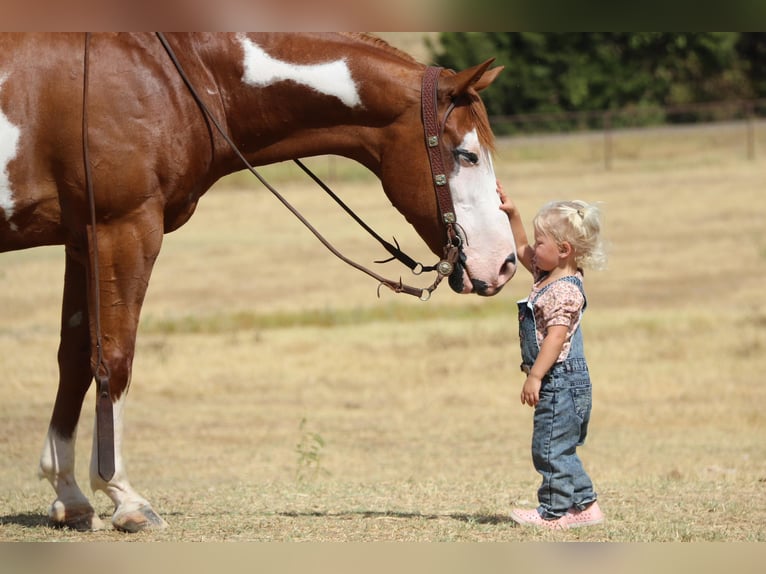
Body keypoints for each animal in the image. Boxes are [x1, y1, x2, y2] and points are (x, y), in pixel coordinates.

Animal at [0, 33, 520, 532]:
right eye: (467, 155)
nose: (506, 263)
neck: (176, 76)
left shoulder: (82, 241)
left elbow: (76, 360)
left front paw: (69, 495)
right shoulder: (122, 229)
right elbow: (114, 359)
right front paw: (123, 495)